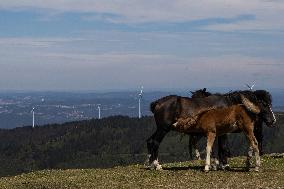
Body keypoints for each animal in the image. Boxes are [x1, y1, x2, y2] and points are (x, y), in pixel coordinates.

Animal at [148, 89, 276, 171]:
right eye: (264, 104)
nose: (273, 120)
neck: (229, 105)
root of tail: (157, 103)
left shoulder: (217, 132)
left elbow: (215, 148)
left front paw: (216, 164)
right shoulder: (222, 132)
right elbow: (222, 147)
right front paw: (224, 165)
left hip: (160, 128)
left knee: (150, 141)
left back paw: (150, 164)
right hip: (163, 129)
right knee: (155, 142)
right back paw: (157, 165)